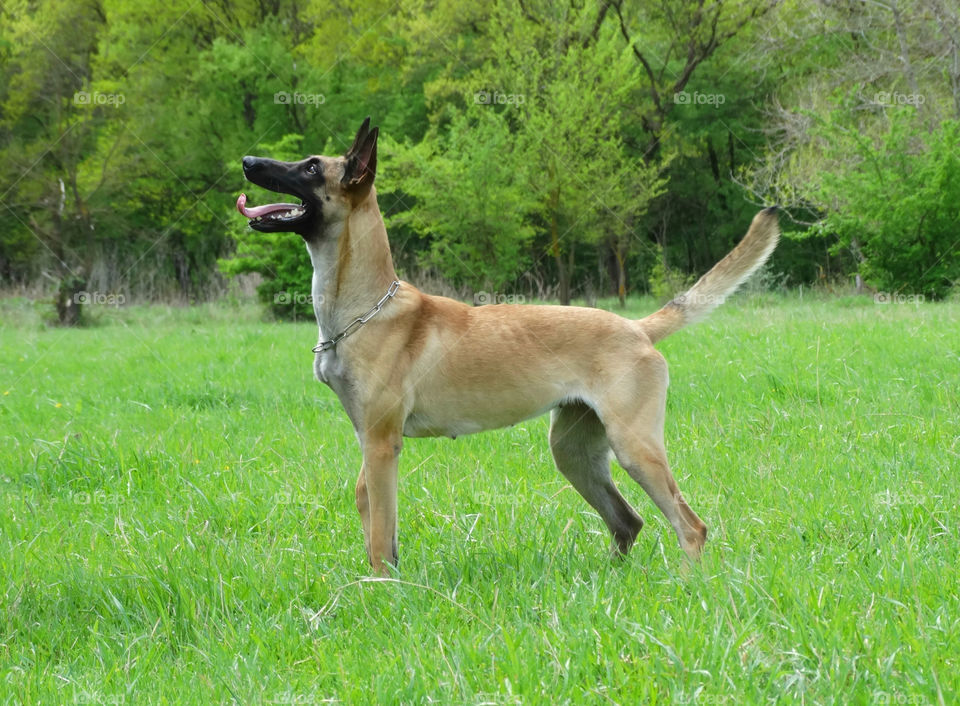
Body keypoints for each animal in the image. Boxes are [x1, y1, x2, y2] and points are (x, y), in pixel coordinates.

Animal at [238, 118, 780, 576]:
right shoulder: (369, 442)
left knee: (690, 526)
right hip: (574, 453)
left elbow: (378, 540)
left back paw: (687, 584)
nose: (247, 161)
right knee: (628, 521)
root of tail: (637, 328)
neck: (366, 306)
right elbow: (373, 519)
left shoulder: (380, 443)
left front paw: (378, 593)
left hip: (635, 447)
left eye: (311, 167)